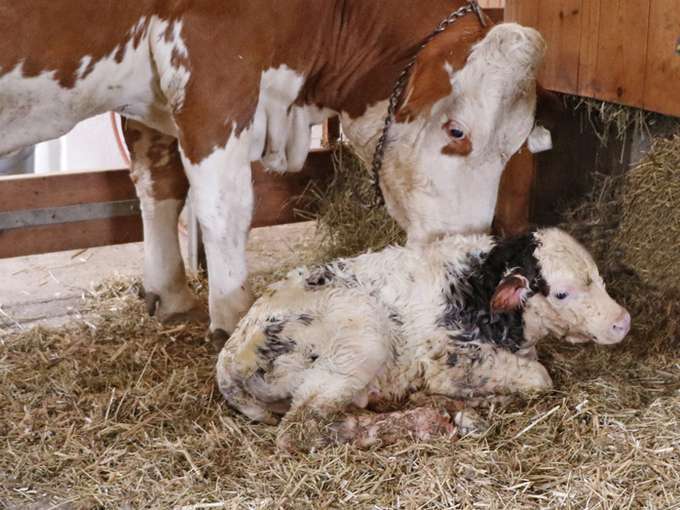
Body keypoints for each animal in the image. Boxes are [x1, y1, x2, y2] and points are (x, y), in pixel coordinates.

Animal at [0, 3, 544, 340]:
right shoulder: (215, 69)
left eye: (516, 145)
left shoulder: (150, 91)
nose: (471, 253)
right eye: (457, 131)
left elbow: (159, 179)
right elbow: (225, 208)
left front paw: (170, 293)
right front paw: (234, 318)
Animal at [216, 230, 632, 450]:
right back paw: (430, 419)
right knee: (299, 429)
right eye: (562, 293)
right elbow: (540, 378)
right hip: (361, 340)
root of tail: (231, 354)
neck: (477, 290)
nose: (622, 322)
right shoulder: (451, 360)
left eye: (599, 277)